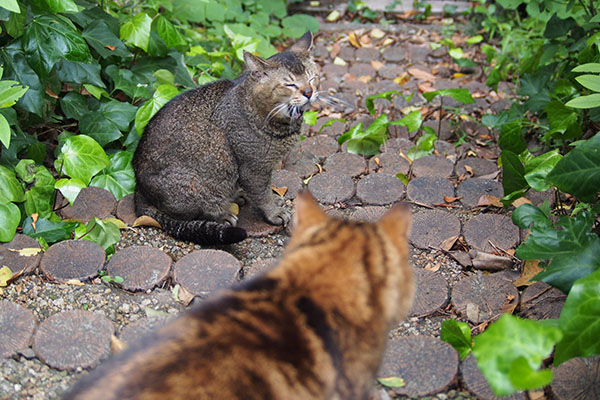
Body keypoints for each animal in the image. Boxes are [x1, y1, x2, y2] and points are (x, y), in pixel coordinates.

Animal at [132, 30, 318, 244]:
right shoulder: (254, 168)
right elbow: (262, 194)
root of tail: (138, 188)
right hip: (195, 186)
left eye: (312, 78)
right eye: (290, 84)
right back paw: (222, 215)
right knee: (190, 213)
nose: (309, 92)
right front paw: (273, 212)